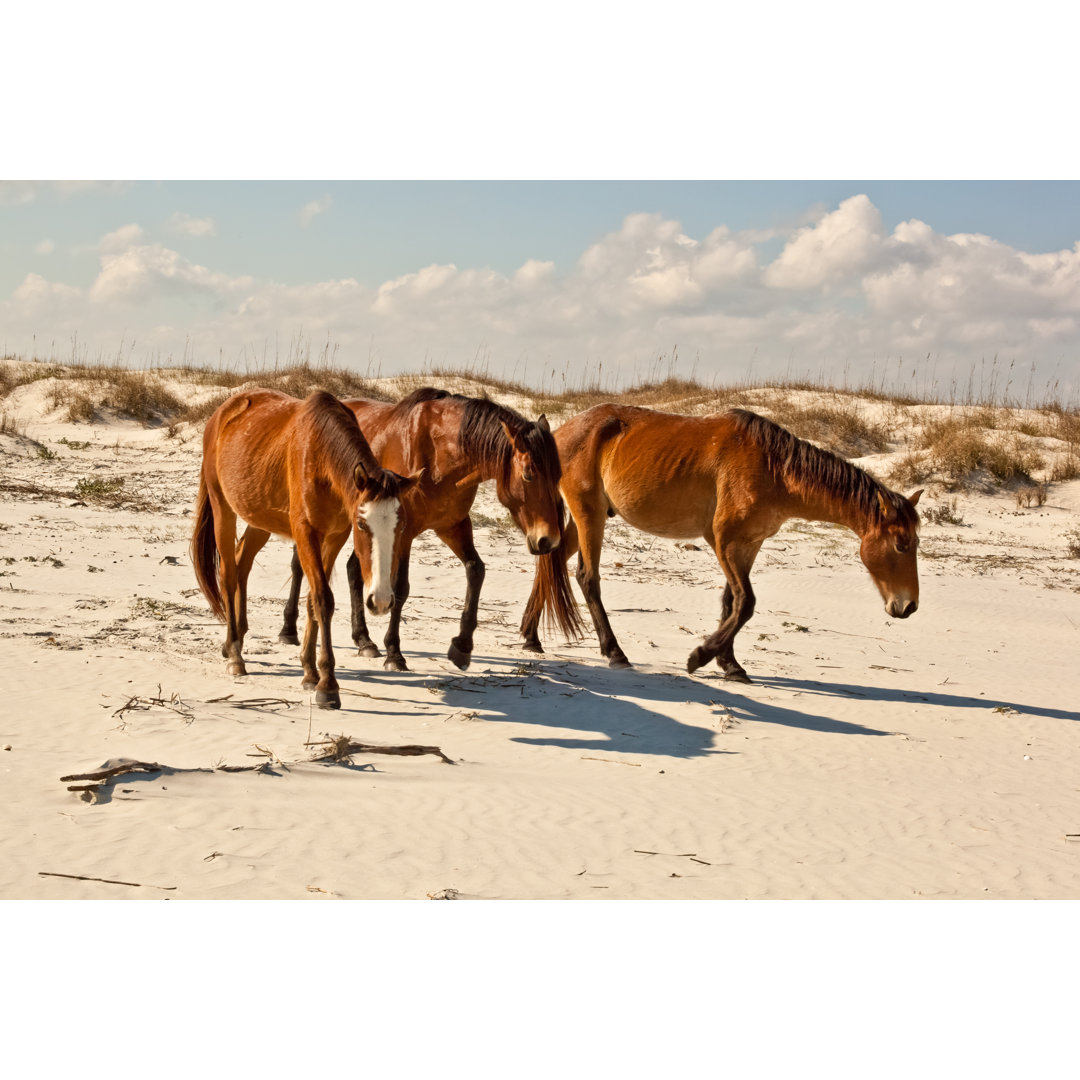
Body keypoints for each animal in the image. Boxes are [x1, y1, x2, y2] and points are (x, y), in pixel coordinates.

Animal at [191, 388, 416, 708]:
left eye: (401, 527)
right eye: (362, 525)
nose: (382, 601)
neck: (321, 455)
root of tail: (222, 413)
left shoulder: (334, 536)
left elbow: (312, 601)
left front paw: (310, 672)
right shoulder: (306, 533)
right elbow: (323, 599)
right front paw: (328, 685)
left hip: (261, 517)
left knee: (242, 560)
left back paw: (235, 640)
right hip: (223, 507)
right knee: (229, 573)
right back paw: (235, 653)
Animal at [274, 388, 587, 669]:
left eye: (558, 475)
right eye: (529, 474)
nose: (548, 540)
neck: (439, 455)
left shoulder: (452, 526)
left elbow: (476, 570)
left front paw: (462, 646)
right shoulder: (406, 533)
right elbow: (401, 588)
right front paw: (394, 653)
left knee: (353, 570)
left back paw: (363, 640)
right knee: (300, 566)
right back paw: (289, 629)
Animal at [518, 406, 924, 682]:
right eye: (901, 544)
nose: (908, 607)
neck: (775, 468)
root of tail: (562, 432)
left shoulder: (748, 545)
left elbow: (732, 601)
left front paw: (729, 663)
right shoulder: (724, 541)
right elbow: (745, 603)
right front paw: (699, 656)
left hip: (586, 519)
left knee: (552, 562)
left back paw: (530, 636)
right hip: (590, 516)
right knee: (587, 578)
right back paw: (614, 652)